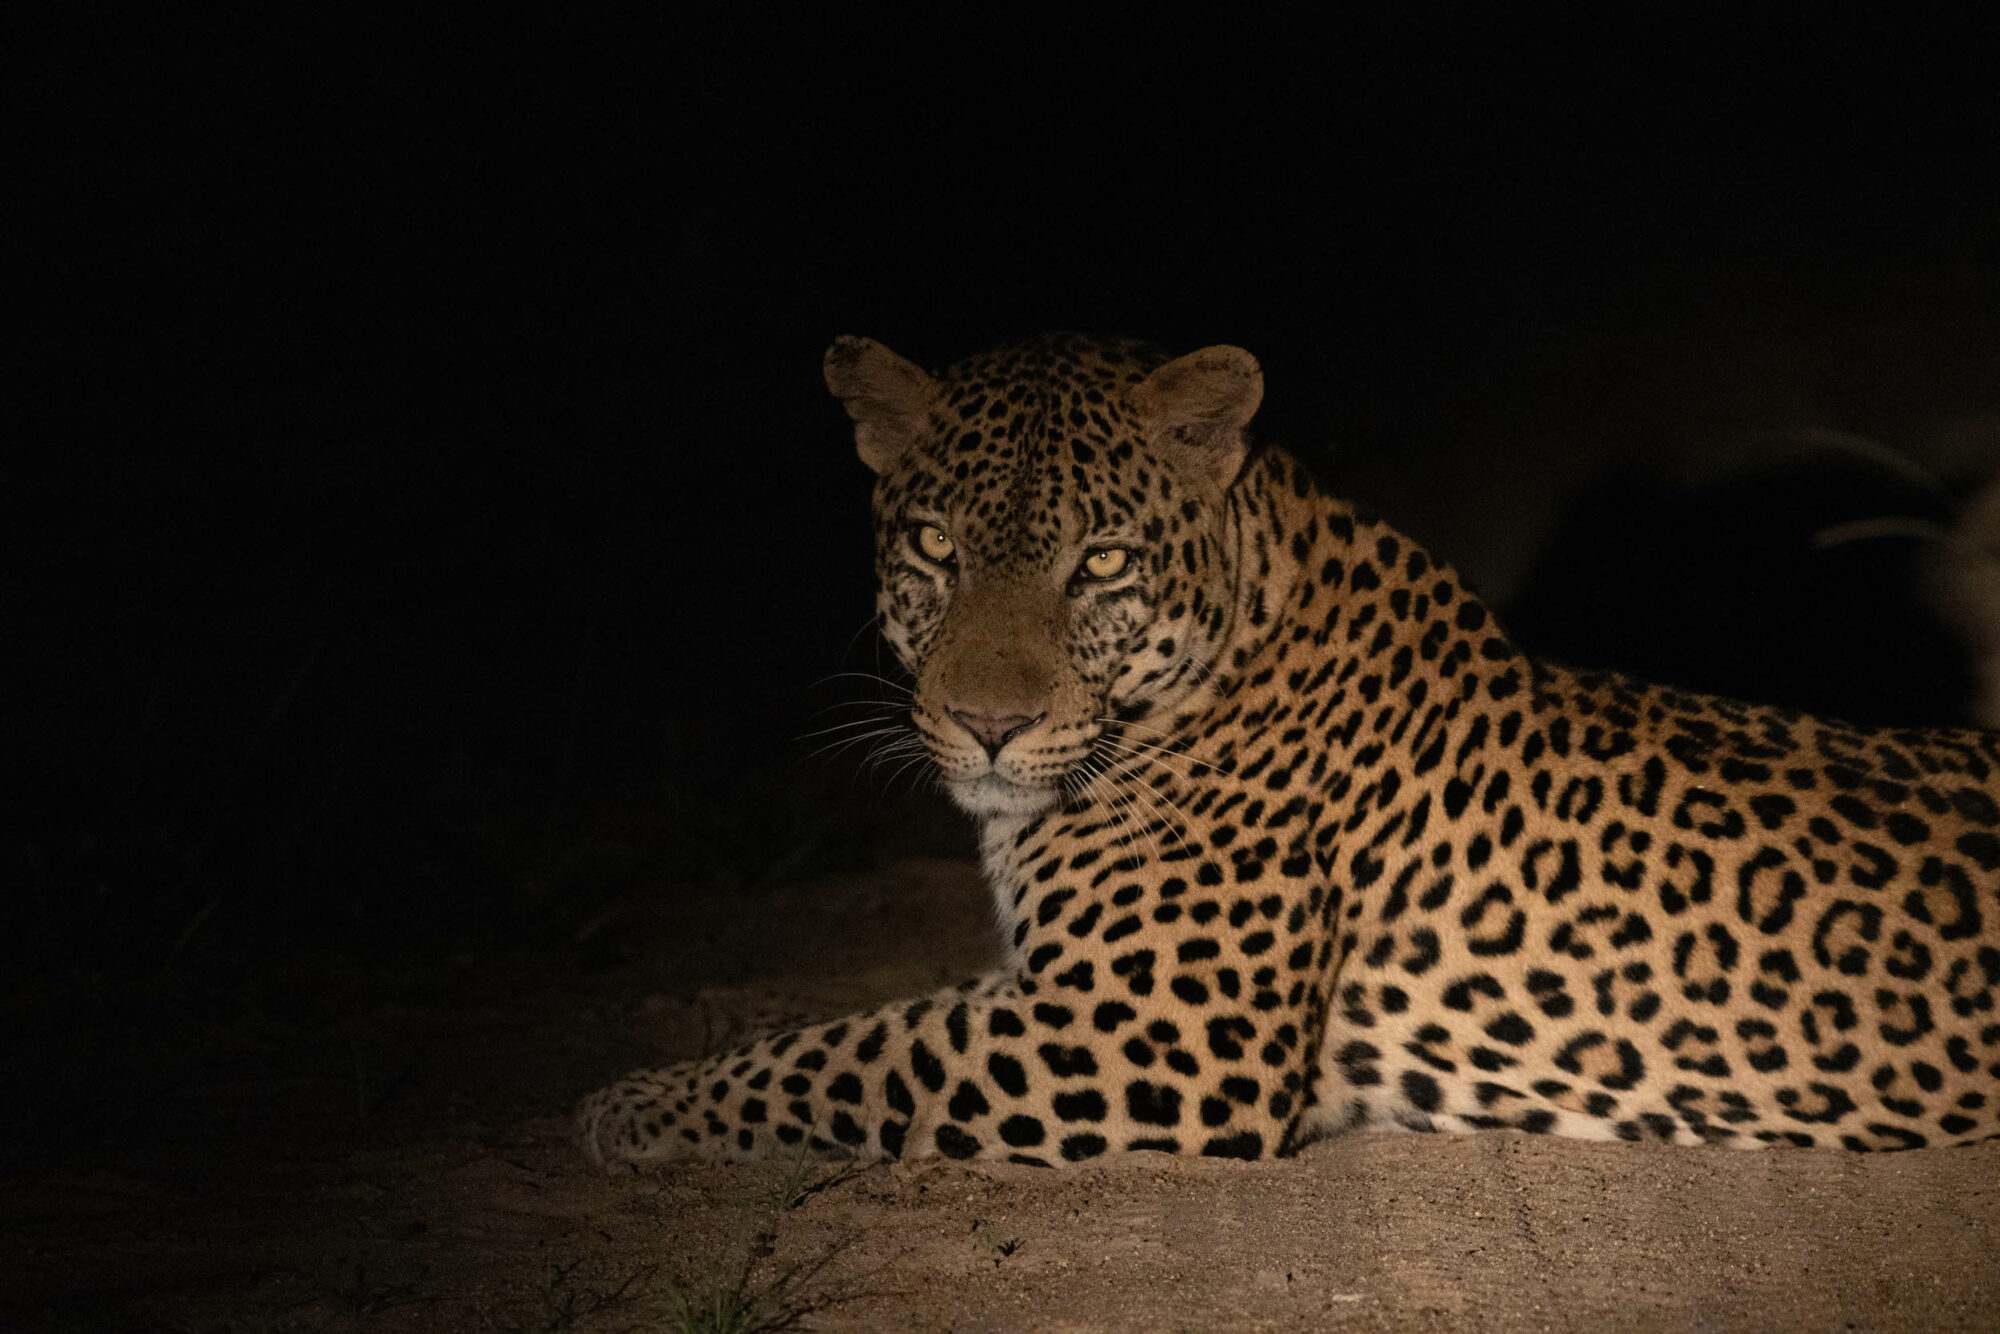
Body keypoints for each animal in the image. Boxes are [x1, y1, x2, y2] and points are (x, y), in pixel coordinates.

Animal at [578, 331, 2000, 1167]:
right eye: (934, 547)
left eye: (1098, 564)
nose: (988, 723)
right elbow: (868, 1019)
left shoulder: (1143, 1033)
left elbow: (852, 1050)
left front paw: (633, 1107)